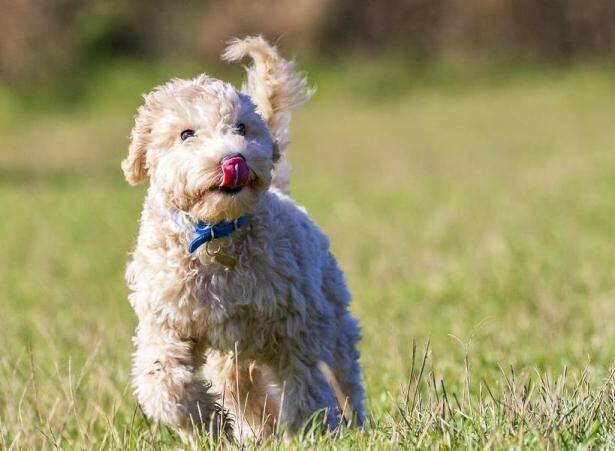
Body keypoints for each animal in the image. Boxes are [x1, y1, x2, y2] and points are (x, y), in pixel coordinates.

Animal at [122, 36, 368, 442]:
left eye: (241, 127)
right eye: (186, 134)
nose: (234, 159)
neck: (216, 235)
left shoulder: (296, 321)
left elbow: (304, 380)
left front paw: (309, 430)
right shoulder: (166, 320)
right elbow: (164, 382)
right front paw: (206, 424)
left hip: (331, 314)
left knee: (342, 374)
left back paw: (354, 423)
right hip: (233, 352)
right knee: (241, 387)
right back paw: (259, 430)